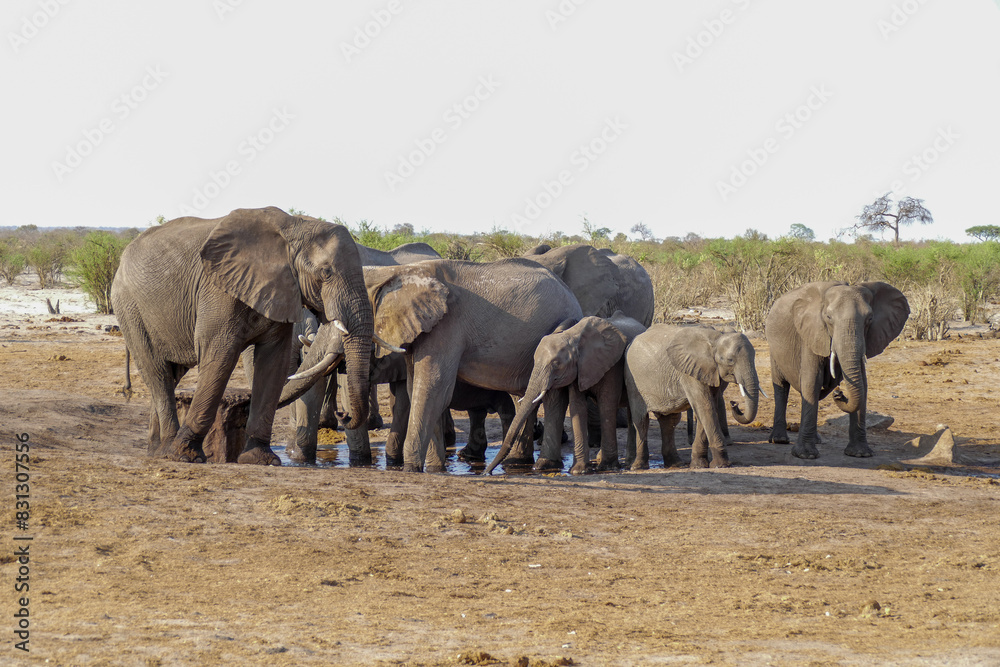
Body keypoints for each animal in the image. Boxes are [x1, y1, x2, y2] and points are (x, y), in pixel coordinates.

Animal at [111, 207, 375, 466]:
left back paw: (155, 452)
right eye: (325, 272)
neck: (295, 226)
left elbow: (273, 363)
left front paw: (262, 460)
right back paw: (168, 450)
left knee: (171, 375)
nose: (344, 414)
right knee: (158, 373)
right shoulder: (217, 290)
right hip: (129, 308)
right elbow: (219, 357)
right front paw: (186, 455)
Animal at [361, 258, 584, 472]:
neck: (394, 272)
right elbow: (417, 387)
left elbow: (434, 389)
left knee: (552, 396)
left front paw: (411, 469)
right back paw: (516, 463)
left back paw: (544, 464)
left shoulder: (446, 326)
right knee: (523, 396)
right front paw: (435, 469)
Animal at [485, 312, 647, 476]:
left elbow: (607, 405)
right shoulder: (577, 369)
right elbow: (577, 407)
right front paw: (578, 470)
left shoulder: (612, 364)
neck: (573, 336)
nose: (486, 472)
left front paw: (608, 468)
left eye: (556, 364)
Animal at [624, 324, 760, 469]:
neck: (716, 338)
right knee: (641, 420)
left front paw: (698, 465)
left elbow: (708, 407)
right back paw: (638, 466)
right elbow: (705, 407)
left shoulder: (709, 371)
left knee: (668, 421)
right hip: (633, 381)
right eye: (730, 360)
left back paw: (675, 464)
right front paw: (721, 464)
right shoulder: (689, 372)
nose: (734, 403)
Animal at [764, 281, 909, 459]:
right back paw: (779, 440)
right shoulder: (812, 334)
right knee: (781, 387)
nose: (839, 393)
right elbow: (812, 381)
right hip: (774, 351)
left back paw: (816, 439)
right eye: (828, 318)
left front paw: (860, 454)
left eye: (869, 319)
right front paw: (806, 455)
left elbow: (863, 384)